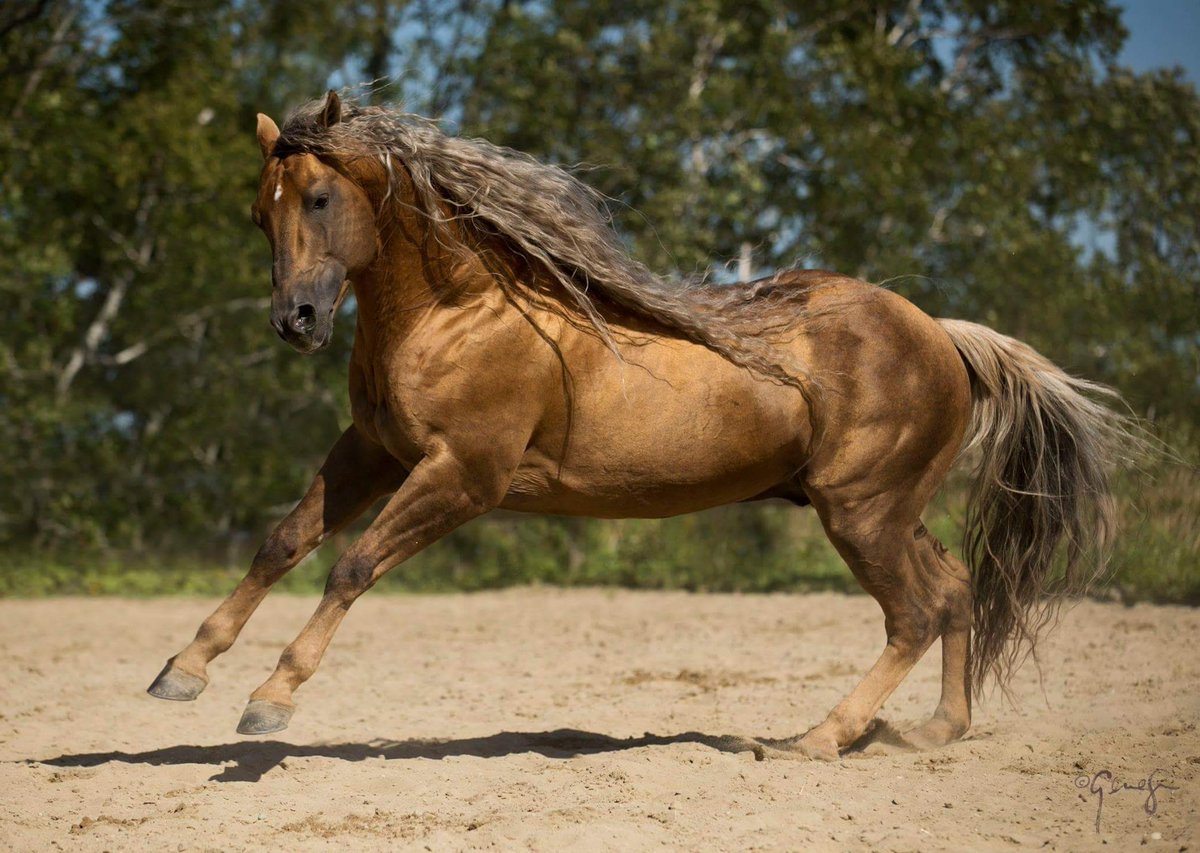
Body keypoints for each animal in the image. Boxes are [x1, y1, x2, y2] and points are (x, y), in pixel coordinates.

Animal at [147, 91, 1132, 763]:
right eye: (259, 212)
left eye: (317, 199)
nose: (297, 321)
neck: (458, 313)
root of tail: (942, 334)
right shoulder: (374, 453)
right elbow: (282, 543)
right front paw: (182, 672)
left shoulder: (462, 474)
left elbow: (351, 565)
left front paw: (270, 700)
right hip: (884, 506)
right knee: (957, 586)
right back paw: (935, 730)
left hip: (861, 512)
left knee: (915, 612)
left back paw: (816, 739)